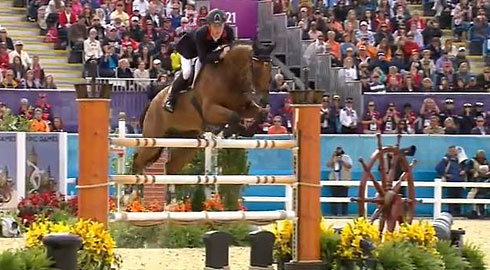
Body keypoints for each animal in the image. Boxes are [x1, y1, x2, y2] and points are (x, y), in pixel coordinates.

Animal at [130, 41, 276, 174]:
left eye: (271, 69)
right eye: (256, 69)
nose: (263, 100)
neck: (229, 75)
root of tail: (152, 102)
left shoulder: (243, 107)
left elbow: (260, 113)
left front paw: (246, 130)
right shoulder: (209, 110)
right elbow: (233, 116)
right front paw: (228, 130)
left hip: (187, 143)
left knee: (171, 167)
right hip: (153, 138)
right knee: (138, 160)